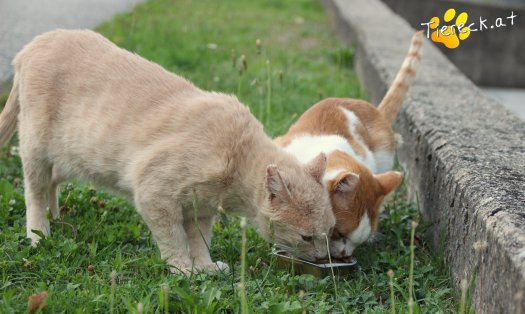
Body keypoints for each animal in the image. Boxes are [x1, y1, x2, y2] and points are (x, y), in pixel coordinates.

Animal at [0, 30, 336, 274]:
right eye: (306, 237)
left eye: (330, 232)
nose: (322, 257)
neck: (237, 152)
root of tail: (31, 46)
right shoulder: (155, 194)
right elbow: (174, 239)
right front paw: (183, 269)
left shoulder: (201, 209)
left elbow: (200, 241)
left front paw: (205, 267)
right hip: (35, 149)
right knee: (34, 193)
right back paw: (39, 232)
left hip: (73, 157)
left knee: (52, 183)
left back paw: (55, 217)